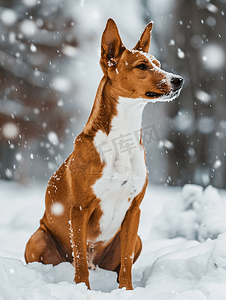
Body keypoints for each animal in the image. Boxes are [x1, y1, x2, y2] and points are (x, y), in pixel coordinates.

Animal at [25, 17, 184, 290]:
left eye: (159, 64)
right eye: (142, 66)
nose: (179, 79)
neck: (122, 138)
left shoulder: (134, 211)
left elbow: (127, 262)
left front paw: (127, 291)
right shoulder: (79, 211)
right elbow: (79, 258)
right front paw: (82, 290)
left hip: (137, 239)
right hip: (37, 239)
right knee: (68, 260)